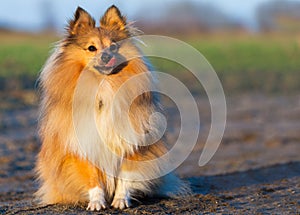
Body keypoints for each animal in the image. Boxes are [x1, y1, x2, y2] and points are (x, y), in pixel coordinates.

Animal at [35, 5, 190, 212]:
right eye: (91, 48)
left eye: (114, 46)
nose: (106, 56)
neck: (104, 85)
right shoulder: (85, 145)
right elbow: (92, 178)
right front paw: (96, 202)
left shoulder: (132, 144)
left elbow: (126, 176)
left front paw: (121, 200)